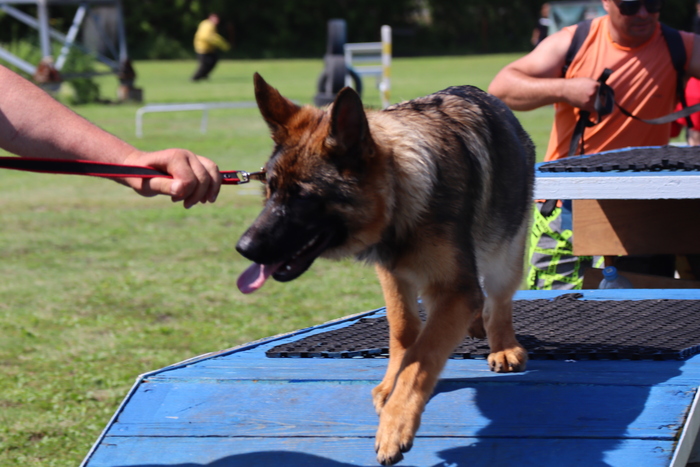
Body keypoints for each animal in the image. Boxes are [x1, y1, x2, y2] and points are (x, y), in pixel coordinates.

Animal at [236, 73, 535, 465]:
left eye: (303, 197)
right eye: (269, 190)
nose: (243, 248)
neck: (402, 191)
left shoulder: (454, 290)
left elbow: (423, 356)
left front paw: (396, 423)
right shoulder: (394, 274)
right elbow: (404, 330)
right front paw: (393, 382)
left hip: (505, 254)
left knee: (498, 300)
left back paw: (503, 346)